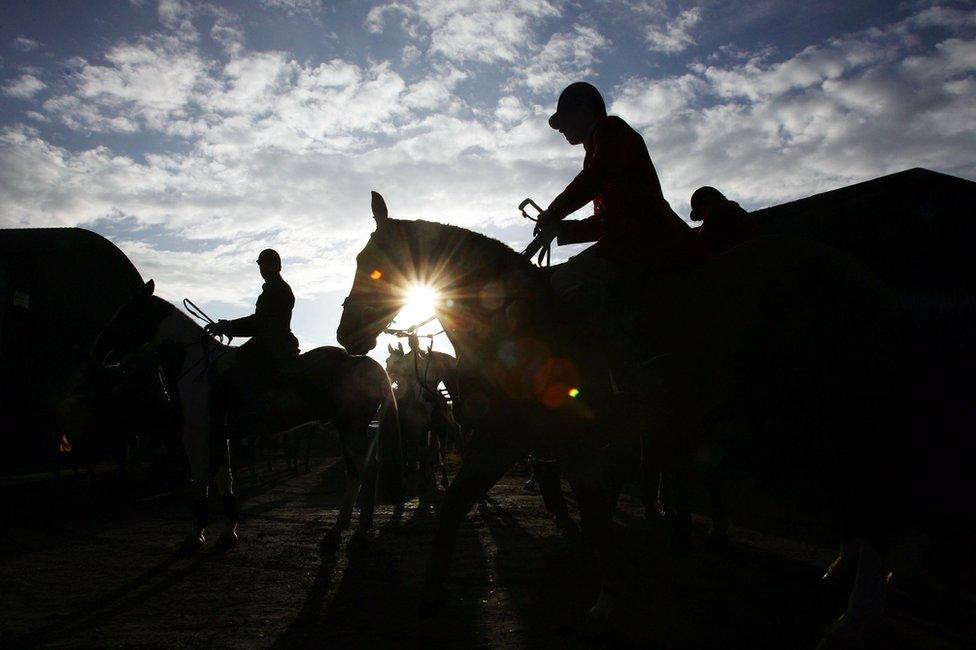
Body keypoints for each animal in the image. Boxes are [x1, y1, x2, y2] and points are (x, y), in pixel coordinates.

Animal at [88, 280, 400, 548]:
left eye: (125, 313)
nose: (98, 348)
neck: (195, 364)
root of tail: (372, 367)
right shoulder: (219, 434)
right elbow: (224, 478)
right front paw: (228, 531)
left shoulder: (196, 434)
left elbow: (200, 479)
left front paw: (196, 535)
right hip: (345, 429)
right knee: (355, 473)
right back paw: (339, 530)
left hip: (351, 429)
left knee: (365, 470)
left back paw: (358, 531)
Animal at [386, 340, 464, 486]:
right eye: (387, 361)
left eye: (399, 361)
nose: (389, 378)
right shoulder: (414, 428)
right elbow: (416, 449)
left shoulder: (433, 428)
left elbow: (429, 450)